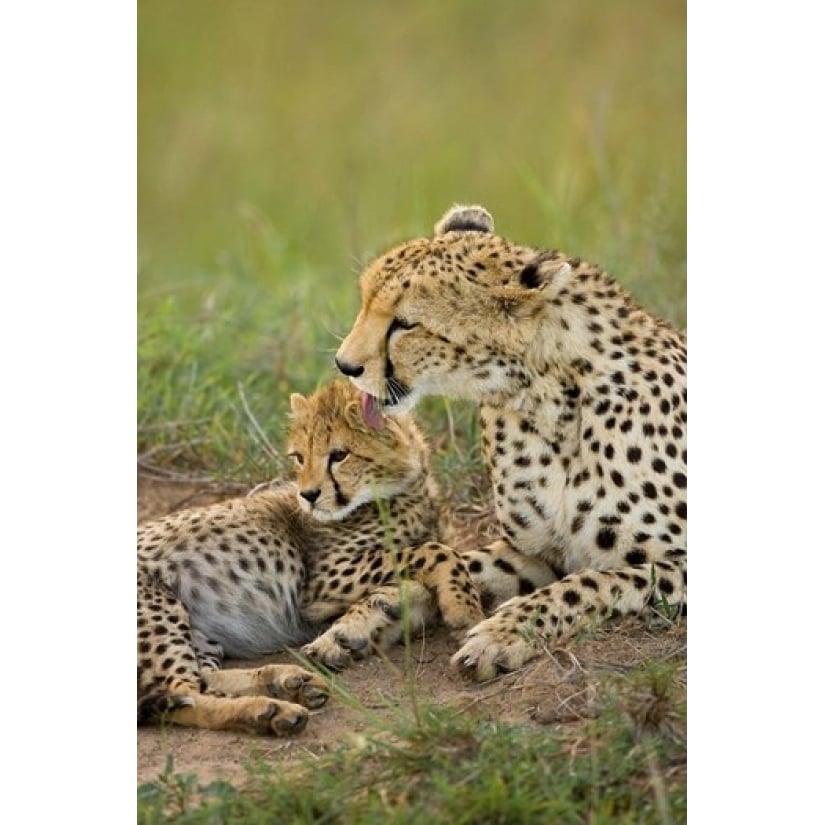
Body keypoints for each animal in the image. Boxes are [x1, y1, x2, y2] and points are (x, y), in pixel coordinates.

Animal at [136, 376, 482, 732]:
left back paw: (285, 682)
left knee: (201, 681)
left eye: (339, 455)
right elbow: (438, 552)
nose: (308, 495)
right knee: (181, 695)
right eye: (299, 457)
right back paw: (270, 709)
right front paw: (463, 608)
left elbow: (432, 570)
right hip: (157, 607)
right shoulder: (323, 582)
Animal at [332, 204, 684, 676]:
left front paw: (502, 634)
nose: (344, 365)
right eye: (366, 301)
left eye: (405, 325)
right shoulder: (537, 552)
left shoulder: (680, 560)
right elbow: (459, 559)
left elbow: (591, 582)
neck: (543, 398)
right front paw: (367, 615)